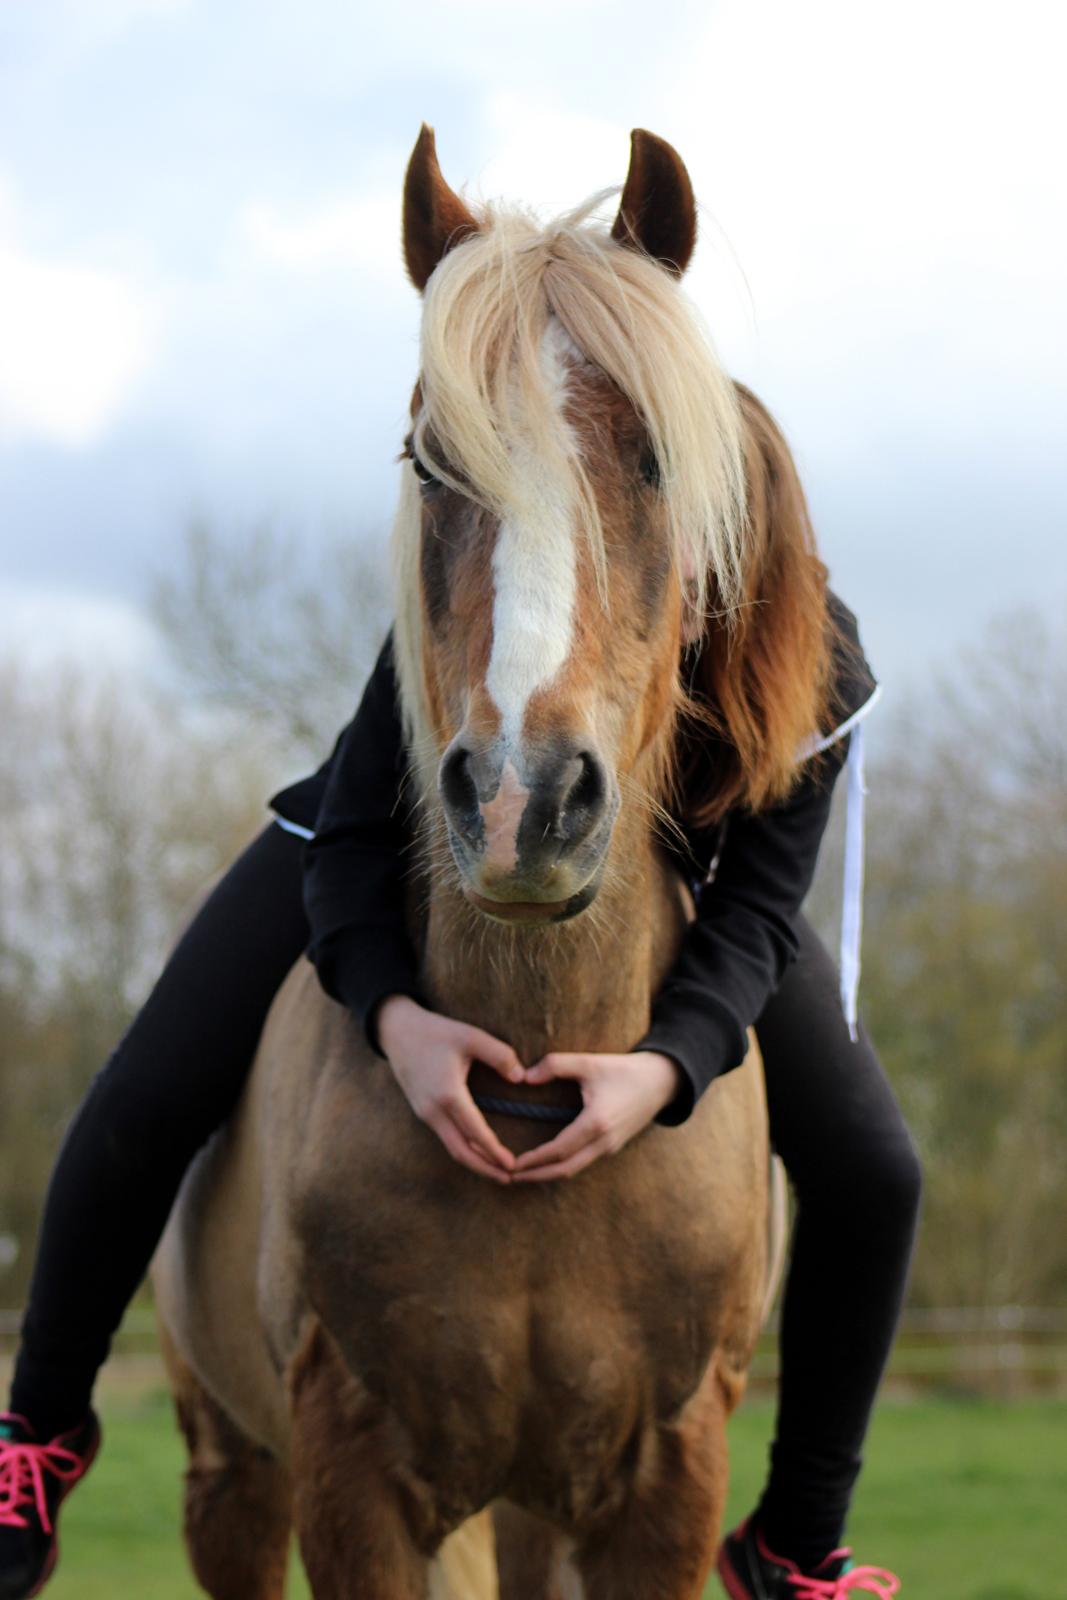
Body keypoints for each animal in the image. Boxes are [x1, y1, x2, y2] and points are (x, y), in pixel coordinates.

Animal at [151, 128, 783, 1600]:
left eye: (656, 458)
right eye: (429, 459)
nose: (519, 801)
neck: (538, 1087)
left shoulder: (659, 1484)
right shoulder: (356, 1483)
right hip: (232, 1472)